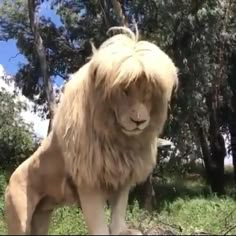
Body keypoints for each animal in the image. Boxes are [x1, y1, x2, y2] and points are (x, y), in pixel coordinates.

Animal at [3, 26, 178, 235]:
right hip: (19, 219)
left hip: (42, 217)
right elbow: (98, 223)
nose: (139, 121)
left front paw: (122, 231)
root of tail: (11, 178)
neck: (118, 139)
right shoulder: (88, 182)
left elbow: (119, 212)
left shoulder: (123, 178)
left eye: (148, 92)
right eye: (124, 90)